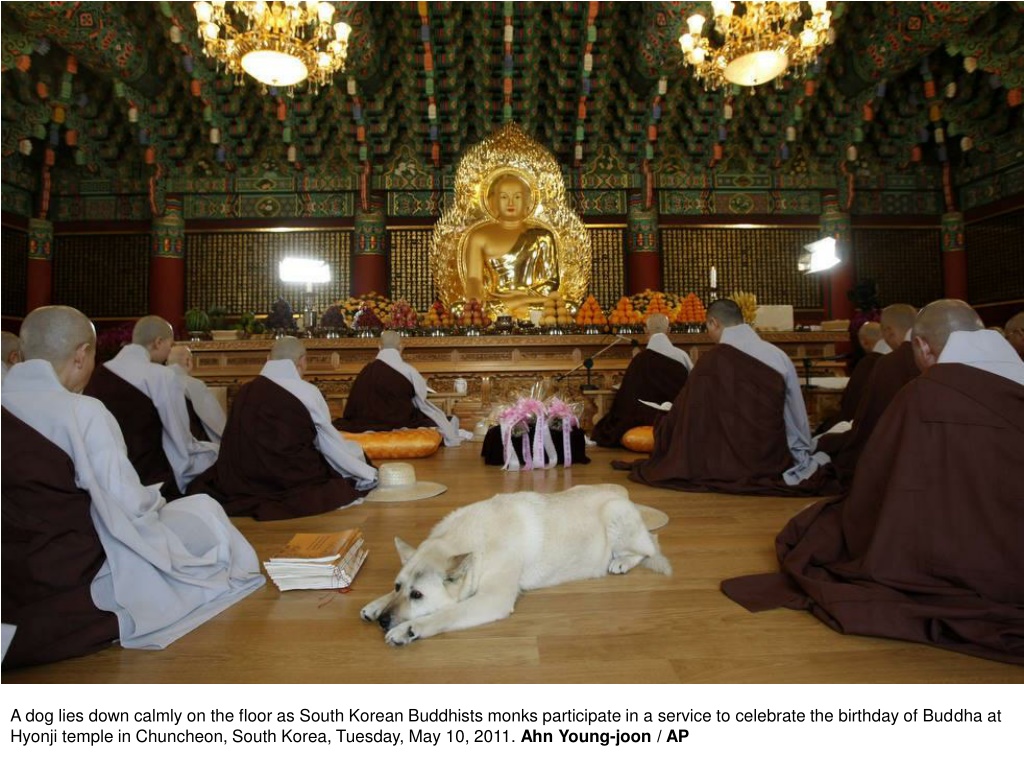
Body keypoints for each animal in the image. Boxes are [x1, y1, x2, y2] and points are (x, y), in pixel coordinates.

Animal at [360, 483, 671, 647]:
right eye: (398, 587)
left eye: (417, 595)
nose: (383, 622)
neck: (472, 539)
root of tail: (621, 491)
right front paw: (376, 604)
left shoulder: (492, 599)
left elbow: (445, 615)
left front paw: (408, 629)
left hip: (616, 517)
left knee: (649, 546)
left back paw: (622, 562)